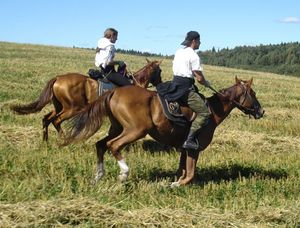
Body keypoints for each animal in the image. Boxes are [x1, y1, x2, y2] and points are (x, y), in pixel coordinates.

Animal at [9, 59, 162, 141]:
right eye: (159, 71)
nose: (160, 83)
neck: (136, 82)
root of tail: (58, 78)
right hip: (72, 108)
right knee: (56, 121)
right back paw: (64, 140)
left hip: (60, 107)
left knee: (46, 118)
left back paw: (46, 141)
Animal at [62, 76, 264, 185]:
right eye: (253, 94)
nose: (261, 111)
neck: (214, 111)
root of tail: (114, 92)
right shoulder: (194, 148)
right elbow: (190, 173)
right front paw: (174, 185)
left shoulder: (185, 148)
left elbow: (183, 169)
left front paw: (173, 181)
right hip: (135, 131)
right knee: (113, 145)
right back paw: (123, 173)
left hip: (117, 128)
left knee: (100, 145)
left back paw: (98, 176)